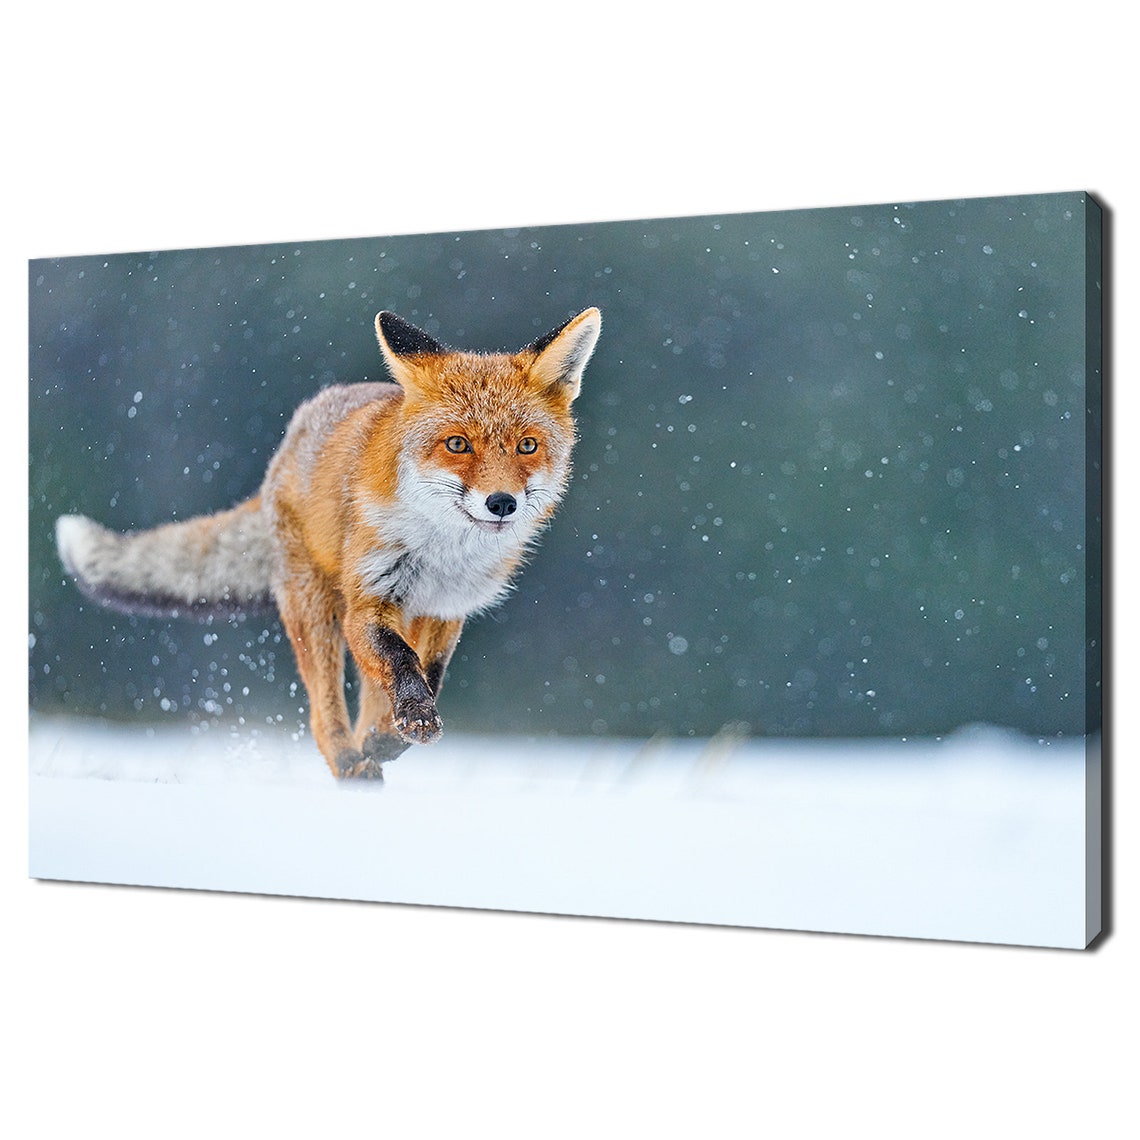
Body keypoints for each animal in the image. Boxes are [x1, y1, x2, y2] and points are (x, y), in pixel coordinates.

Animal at [55, 307, 602, 779]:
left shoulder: (447, 610)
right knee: (324, 715)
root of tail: (285, 448)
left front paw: (395, 733)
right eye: (457, 444)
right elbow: (402, 665)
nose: (501, 503)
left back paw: (372, 748)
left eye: (527, 446)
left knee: (365, 705)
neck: (444, 554)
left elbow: (430, 673)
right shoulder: (369, 602)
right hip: (316, 611)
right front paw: (413, 719)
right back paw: (349, 763)